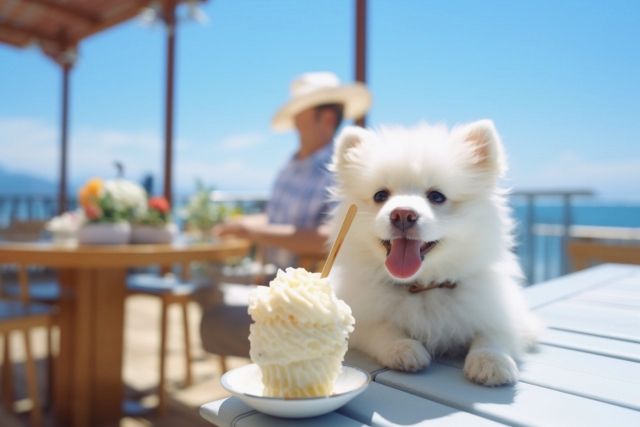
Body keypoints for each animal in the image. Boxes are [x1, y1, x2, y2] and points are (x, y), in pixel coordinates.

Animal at [328, 121, 544, 388]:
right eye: (380, 195)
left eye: (436, 196)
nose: (402, 214)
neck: (425, 286)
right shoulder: (363, 321)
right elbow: (381, 329)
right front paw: (403, 348)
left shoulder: (507, 316)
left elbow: (493, 334)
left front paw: (491, 362)